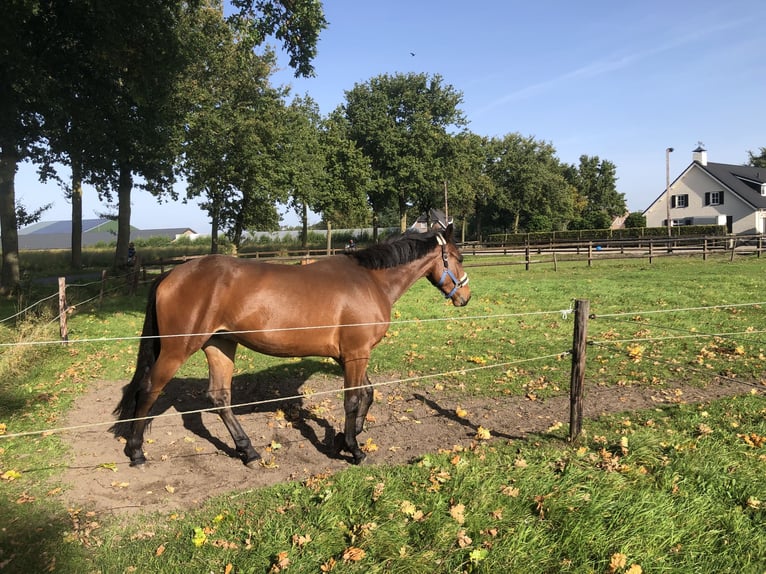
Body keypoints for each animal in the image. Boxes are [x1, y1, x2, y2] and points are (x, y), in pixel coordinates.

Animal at [112, 224, 474, 468]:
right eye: (457, 257)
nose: (465, 297)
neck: (370, 280)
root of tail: (171, 274)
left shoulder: (350, 356)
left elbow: (367, 395)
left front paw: (342, 439)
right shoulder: (356, 354)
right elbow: (353, 400)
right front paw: (354, 449)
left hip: (220, 345)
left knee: (219, 398)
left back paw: (248, 451)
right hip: (178, 349)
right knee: (149, 389)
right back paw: (136, 451)